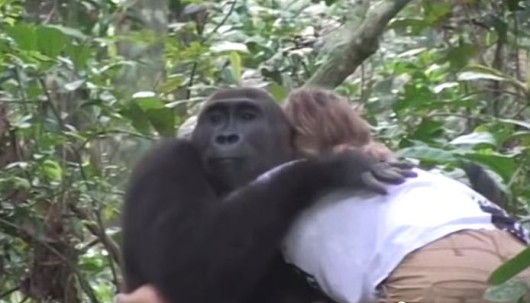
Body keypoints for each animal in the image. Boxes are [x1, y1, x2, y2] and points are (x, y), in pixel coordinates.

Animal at [119, 86, 412, 302]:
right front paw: (330, 166)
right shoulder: (163, 162)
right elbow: (185, 267)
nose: (226, 137)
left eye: (247, 117)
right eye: (215, 119)